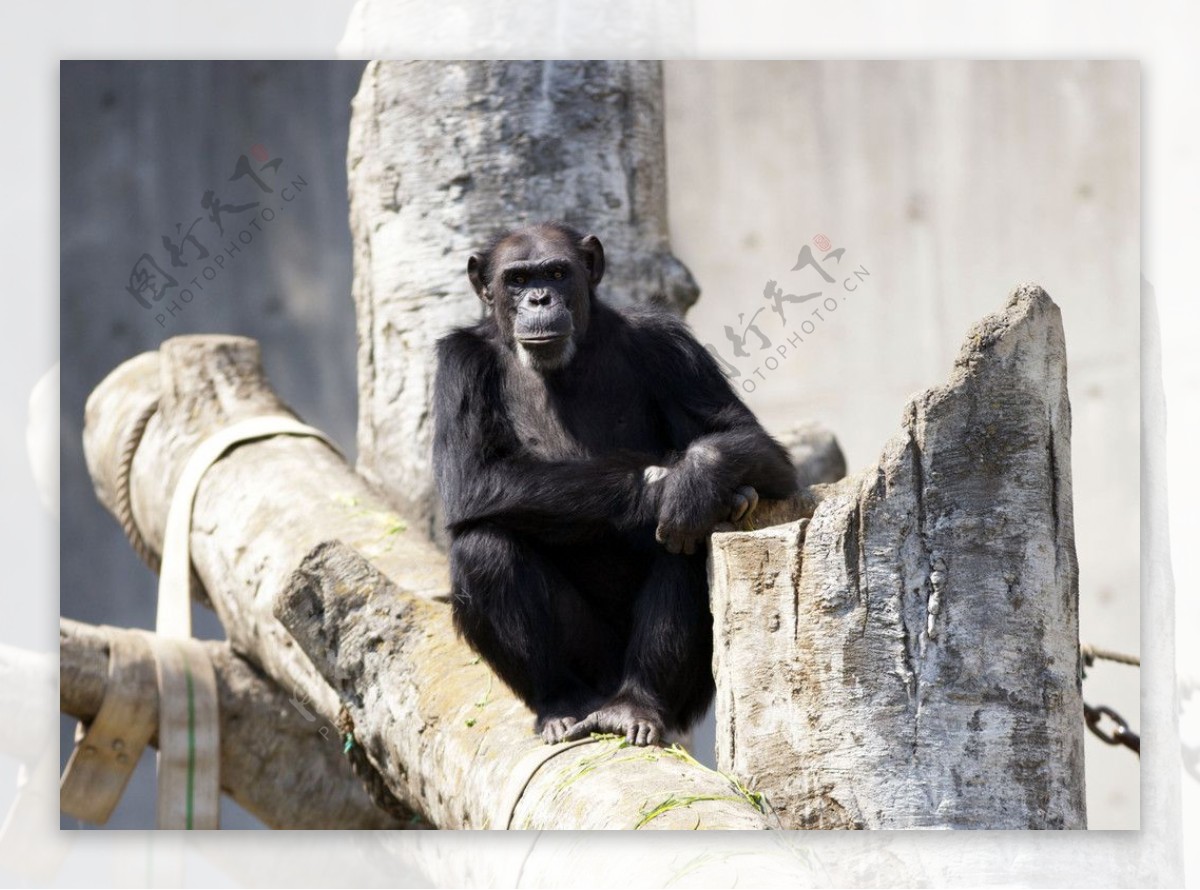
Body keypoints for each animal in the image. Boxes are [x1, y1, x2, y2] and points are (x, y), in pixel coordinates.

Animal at [432, 221, 796, 743]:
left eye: (557, 273)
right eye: (516, 279)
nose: (539, 298)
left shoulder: (667, 342)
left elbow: (755, 445)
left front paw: (693, 482)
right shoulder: (459, 364)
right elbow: (473, 477)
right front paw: (662, 487)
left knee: (690, 537)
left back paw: (637, 703)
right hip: (591, 662)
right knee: (482, 548)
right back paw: (560, 702)